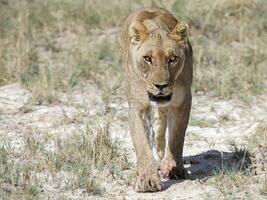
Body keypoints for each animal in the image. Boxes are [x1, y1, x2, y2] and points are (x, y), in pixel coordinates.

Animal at [121, 7, 193, 192]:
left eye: (172, 59)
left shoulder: (182, 101)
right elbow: (142, 143)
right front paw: (147, 180)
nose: (161, 85)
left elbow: (176, 137)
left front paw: (173, 167)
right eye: (147, 58)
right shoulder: (137, 107)